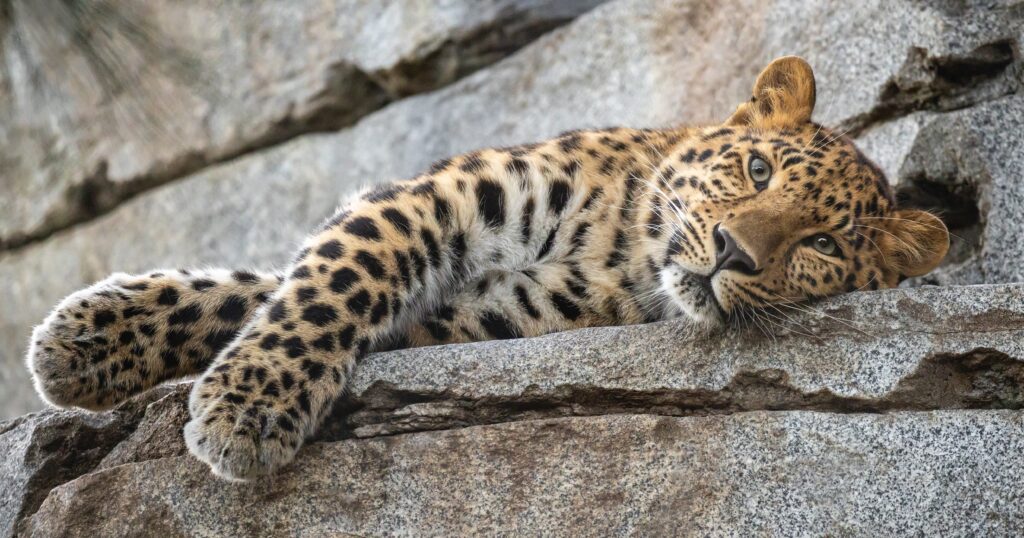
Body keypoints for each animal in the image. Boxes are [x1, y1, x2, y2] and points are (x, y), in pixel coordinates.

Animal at [26, 57, 949, 481]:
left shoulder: (494, 315)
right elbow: (313, 283)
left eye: (821, 245)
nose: (733, 252)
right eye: (758, 172)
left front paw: (243, 411)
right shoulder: (441, 200)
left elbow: (299, 299)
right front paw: (88, 340)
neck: (625, 240)